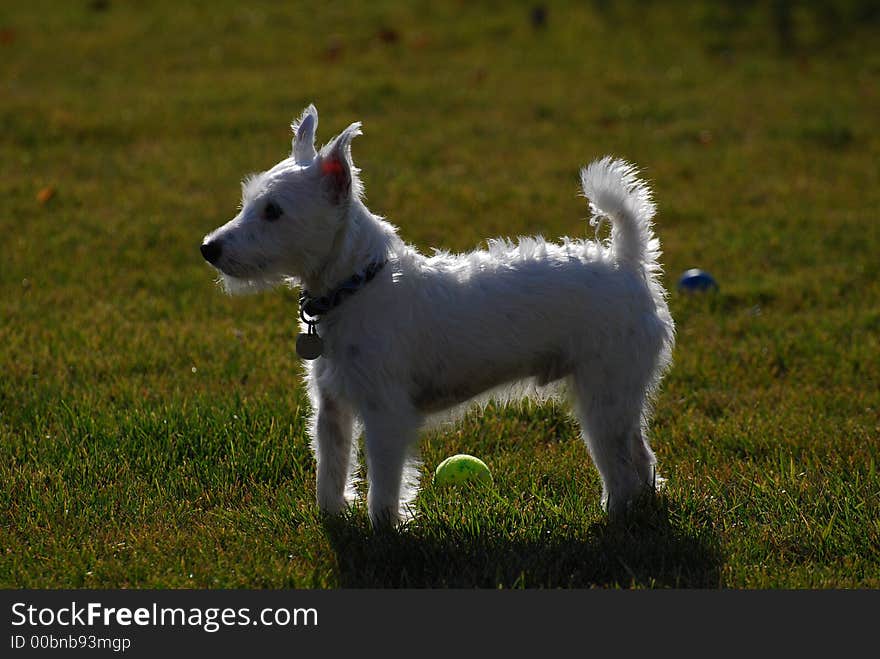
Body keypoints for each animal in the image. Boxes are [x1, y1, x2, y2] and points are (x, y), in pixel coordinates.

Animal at [203, 104, 672, 524]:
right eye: (249, 202)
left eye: (273, 211)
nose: (209, 248)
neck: (356, 286)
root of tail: (627, 262)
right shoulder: (332, 409)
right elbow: (331, 472)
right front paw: (331, 518)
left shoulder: (386, 414)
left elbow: (384, 484)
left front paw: (384, 529)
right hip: (617, 398)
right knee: (641, 454)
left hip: (603, 396)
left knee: (621, 466)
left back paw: (616, 515)